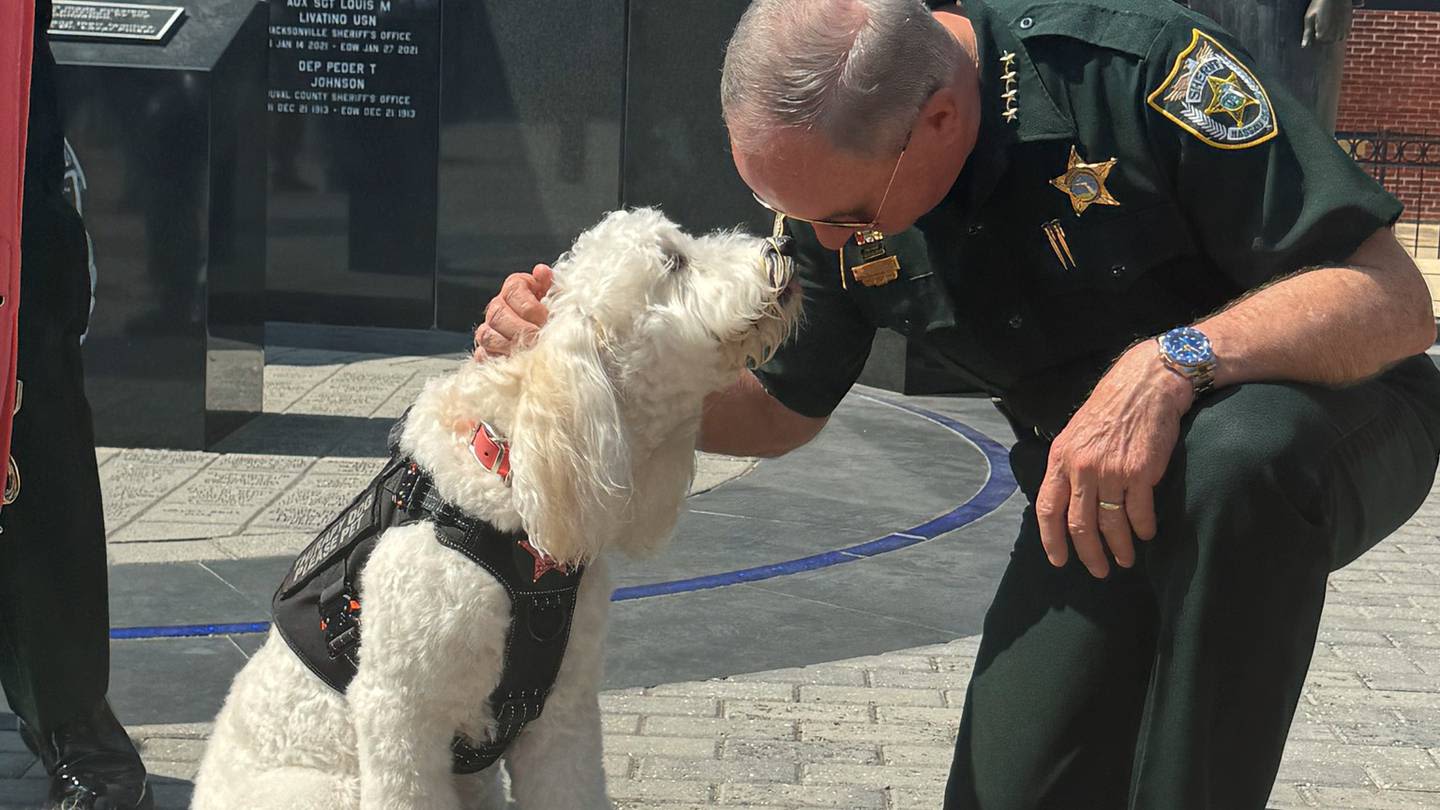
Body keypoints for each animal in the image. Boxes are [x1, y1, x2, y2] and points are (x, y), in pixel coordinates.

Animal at [188, 208, 800, 807]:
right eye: (674, 261)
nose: (782, 248)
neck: (509, 481)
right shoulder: (399, 712)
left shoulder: (562, 713)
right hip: (328, 788)